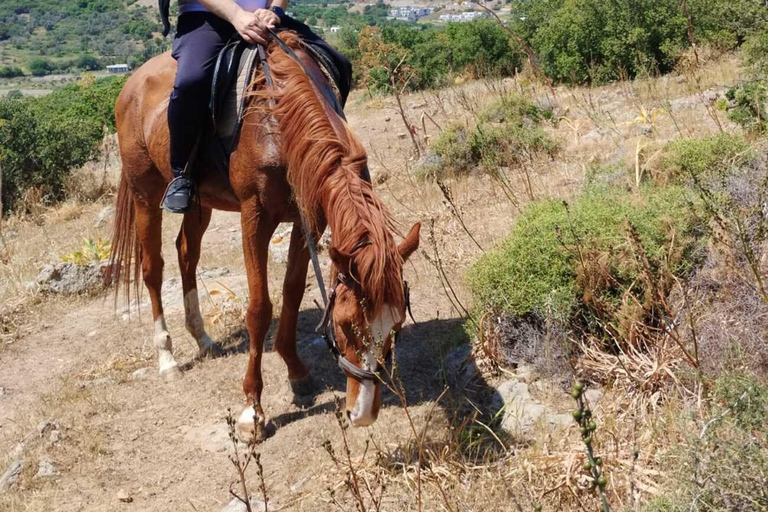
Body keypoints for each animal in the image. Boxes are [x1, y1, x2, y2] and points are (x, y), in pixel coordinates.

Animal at [109, 31, 421, 441]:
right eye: (343, 325)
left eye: (396, 326)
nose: (364, 412)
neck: (281, 122)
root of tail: (130, 84)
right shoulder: (254, 217)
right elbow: (260, 308)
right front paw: (252, 411)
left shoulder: (309, 221)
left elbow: (292, 290)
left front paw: (297, 374)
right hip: (145, 193)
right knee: (153, 268)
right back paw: (167, 357)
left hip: (199, 203)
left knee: (186, 254)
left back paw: (202, 337)